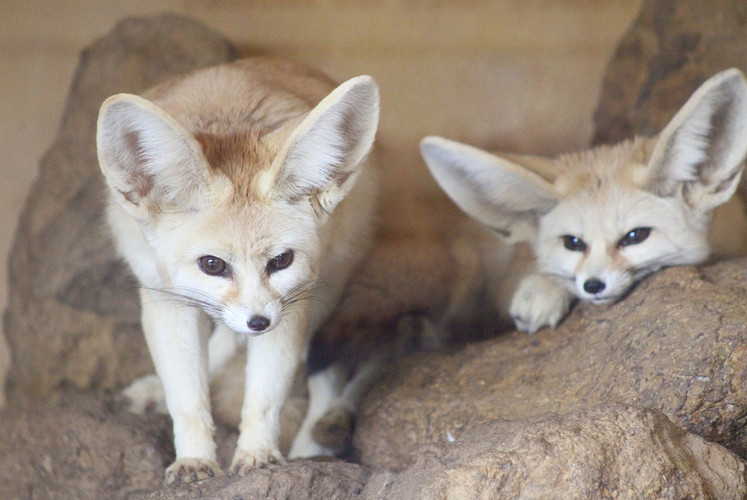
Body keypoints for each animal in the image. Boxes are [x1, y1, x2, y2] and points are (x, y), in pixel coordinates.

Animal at [96, 57, 380, 483]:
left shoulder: (290, 308)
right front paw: (194, 460)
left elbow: (264, 396)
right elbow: (187, 397)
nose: (259, 322)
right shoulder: (164, 299)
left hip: (324, 292)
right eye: (212, 265)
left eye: (281, 261)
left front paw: (258, 455)